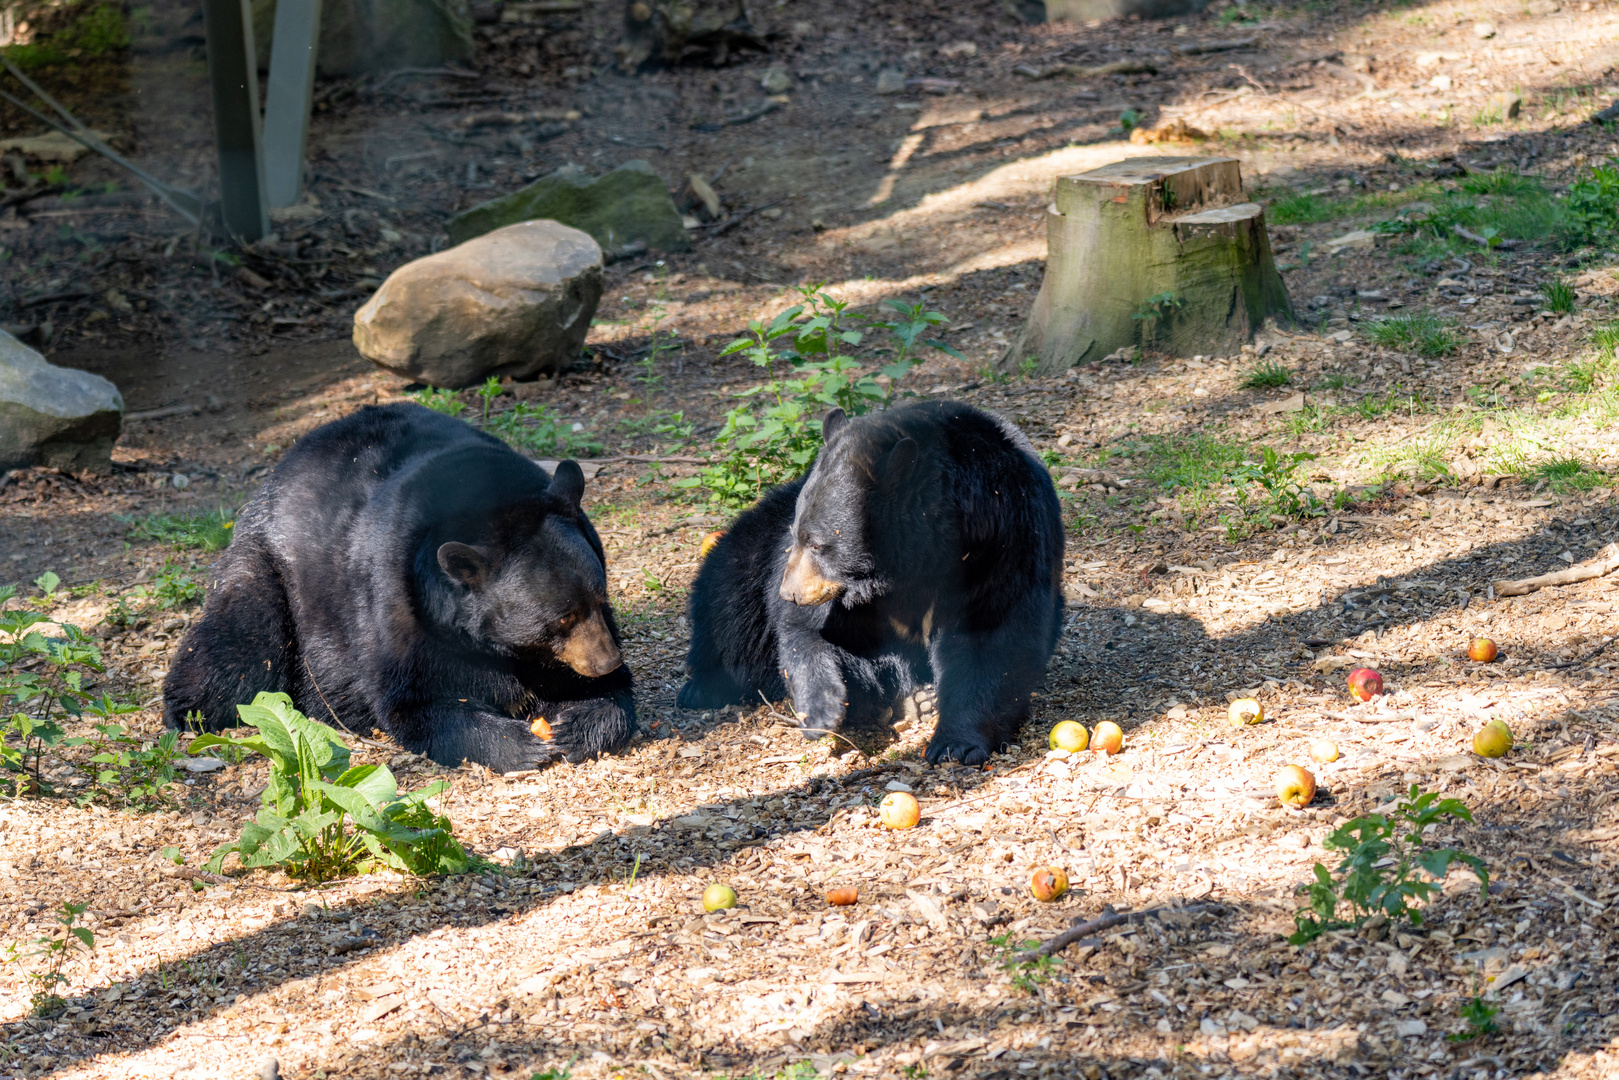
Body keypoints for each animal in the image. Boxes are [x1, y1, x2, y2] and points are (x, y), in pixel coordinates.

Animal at [162, 401, 631, 773]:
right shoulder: (400, 609)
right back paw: (189, 712)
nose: (606, 660)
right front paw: (518, 743)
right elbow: (416, 703)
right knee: (238, 646)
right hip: (267, 571)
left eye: (600, 598)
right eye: (561, 618)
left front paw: (578, 721)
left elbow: (611, 695)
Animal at [679, 401, 1068, 764]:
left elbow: (990, 631)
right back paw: (702, 687)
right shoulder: (837, 593)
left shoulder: (1001, 538)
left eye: (818, 544)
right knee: (728, 606)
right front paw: (820, 711)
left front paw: (955, 744)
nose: (789, 592)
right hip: (747, 553)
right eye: (798, 536)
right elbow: (804, 631)